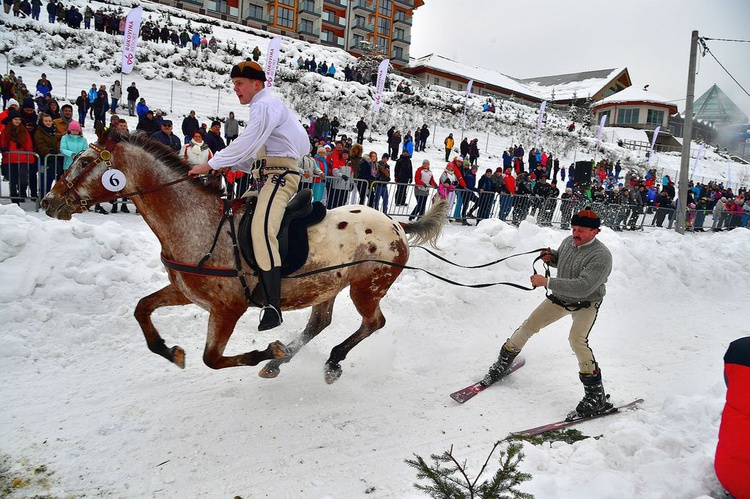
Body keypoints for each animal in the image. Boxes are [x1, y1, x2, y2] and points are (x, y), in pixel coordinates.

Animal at [41, 131, 450, 384]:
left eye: (84, 162)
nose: (48, 201)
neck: (196, 223)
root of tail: (395, 224)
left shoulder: (228, 308)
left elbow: (212, 358)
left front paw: (264, 350)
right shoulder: (188, 294)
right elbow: (142, 309)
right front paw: (169, 351)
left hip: (366, 287)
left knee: (373, 323)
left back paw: (327, 360)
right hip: (326, 287)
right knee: (319, 324)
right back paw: (281, 362)